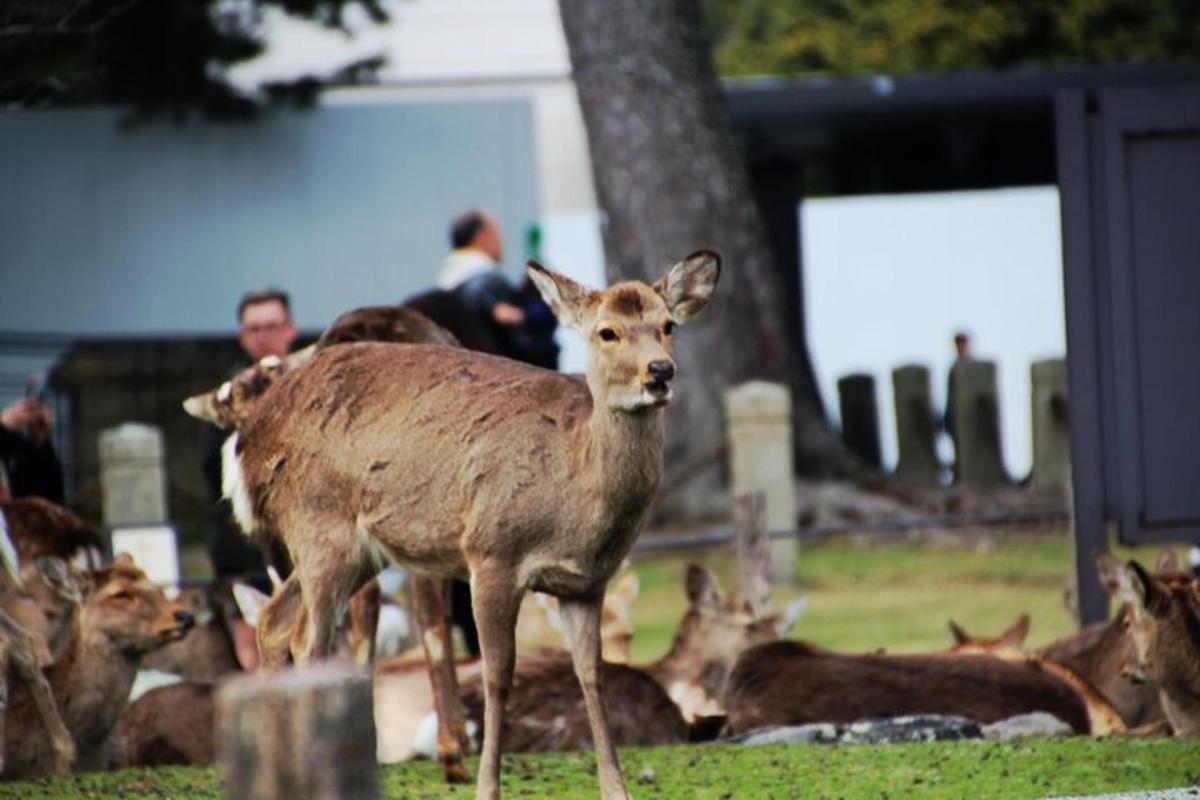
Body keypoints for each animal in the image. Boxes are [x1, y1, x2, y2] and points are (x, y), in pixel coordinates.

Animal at [226, 251, 720, 800]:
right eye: (606, 331)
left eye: (668, 325)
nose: (660, 371)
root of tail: (247, 441)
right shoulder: (491, 553)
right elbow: (496, 674)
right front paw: (488, 786)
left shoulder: (586, 581)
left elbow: (592, 672)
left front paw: (617, 788)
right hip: (319, 525)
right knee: (310, 643)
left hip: (354, 550)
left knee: (274, 621)